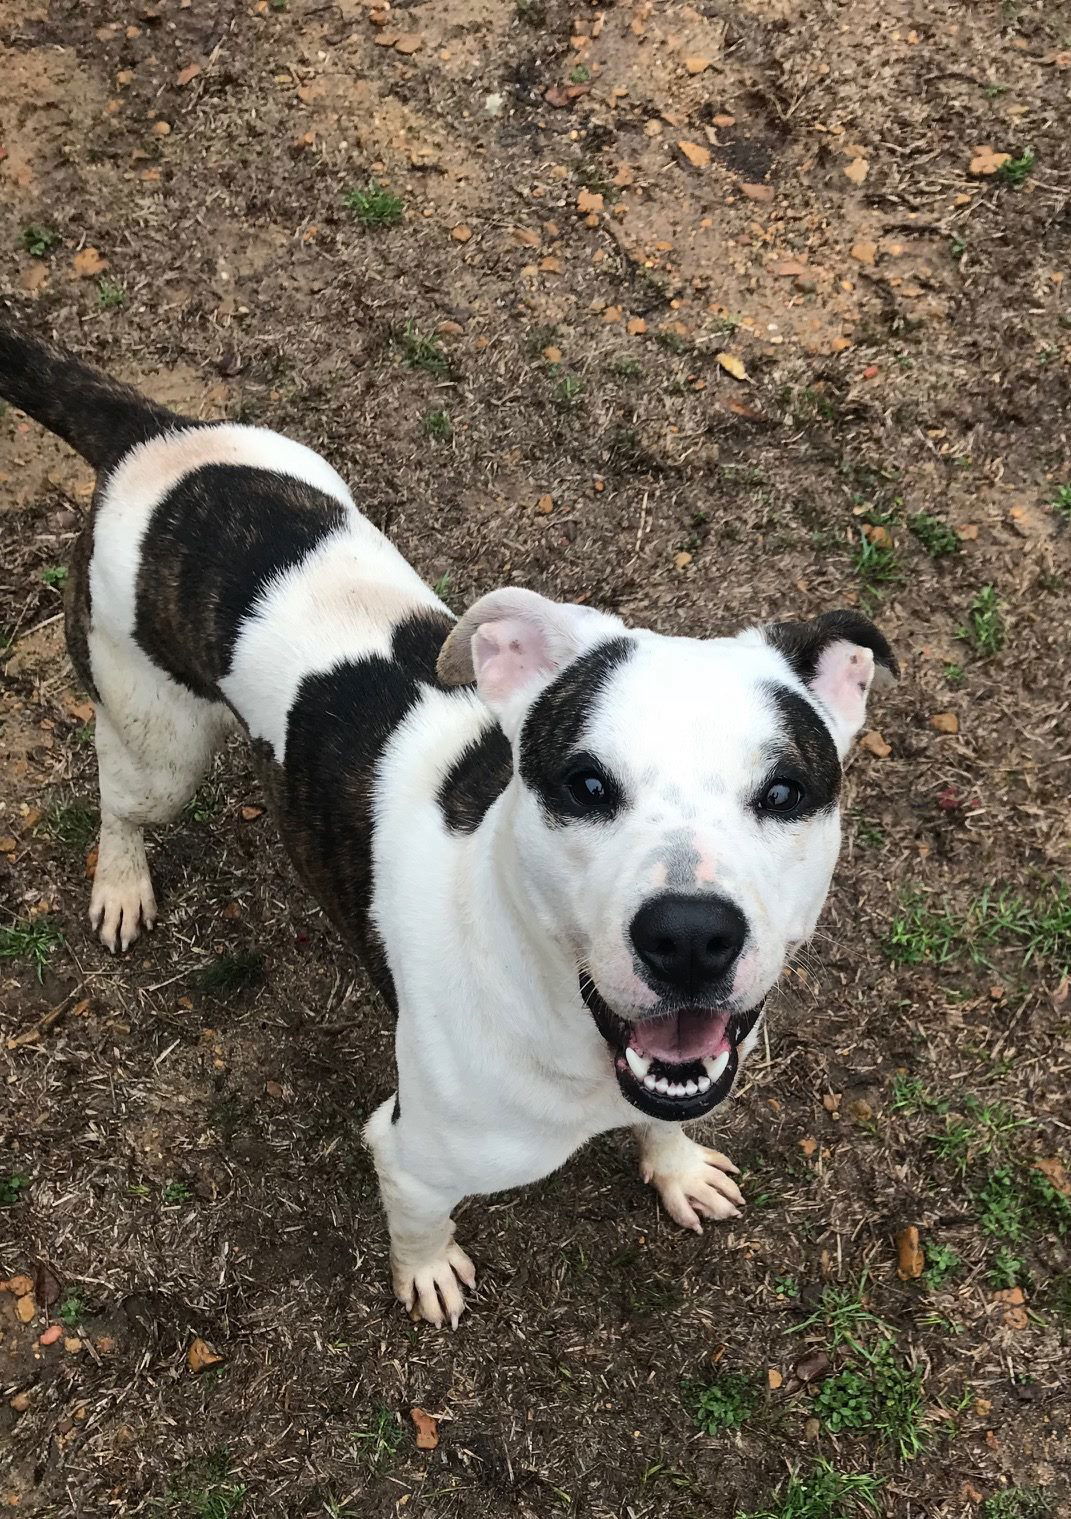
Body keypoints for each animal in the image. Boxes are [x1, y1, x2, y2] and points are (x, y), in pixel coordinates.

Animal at [0, 323, 893, 1330]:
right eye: (585, 783)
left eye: (782, 792)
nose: (690, 936)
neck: (567, 1021)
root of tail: (156, 435)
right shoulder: (410, 1153)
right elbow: (418, 1220)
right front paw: (427, 1271)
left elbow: (667, 1122)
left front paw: (676, 1168)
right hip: (160, 742)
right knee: (121, 799)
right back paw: (120, 883)